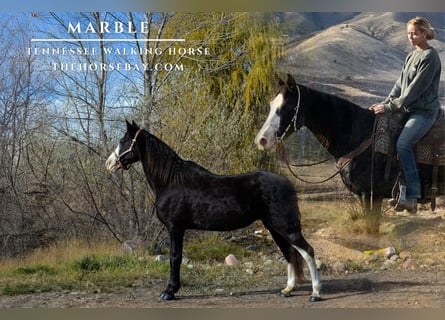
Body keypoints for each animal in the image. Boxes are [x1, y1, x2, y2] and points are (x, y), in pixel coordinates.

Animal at [105, 120, 320, 302]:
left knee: (307, 251)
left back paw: (315, 293)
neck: (170, 182)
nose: (109, 163)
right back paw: (287, 290)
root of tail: (287, 183)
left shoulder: (175, 228)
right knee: (289, 252)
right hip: (274, 228)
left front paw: (169, 291)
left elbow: (175, 258)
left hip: (285, 227)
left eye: (123, 140)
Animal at [255, 74, 442, 220]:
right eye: (271, 105)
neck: (359, 135)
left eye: (287, 107)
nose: (261, 140)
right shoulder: (362, 195)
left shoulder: (372, 195)